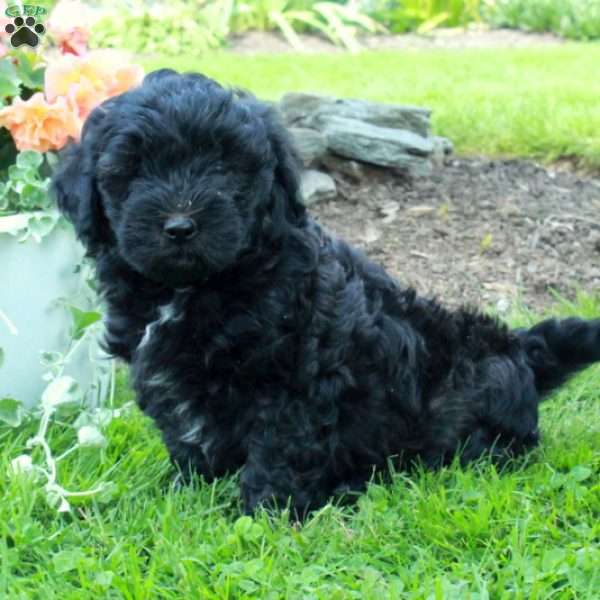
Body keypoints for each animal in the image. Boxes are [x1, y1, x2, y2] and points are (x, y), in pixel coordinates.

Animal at [52, 68, 600, 512]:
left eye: (224, 167)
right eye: (134, 168)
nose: (181, 226)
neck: (196, 287)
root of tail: (519, 348)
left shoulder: (291, 377)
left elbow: (278, 447)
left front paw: (261, 514)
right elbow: (187, 440)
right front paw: (184, 490)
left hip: (476, 388)